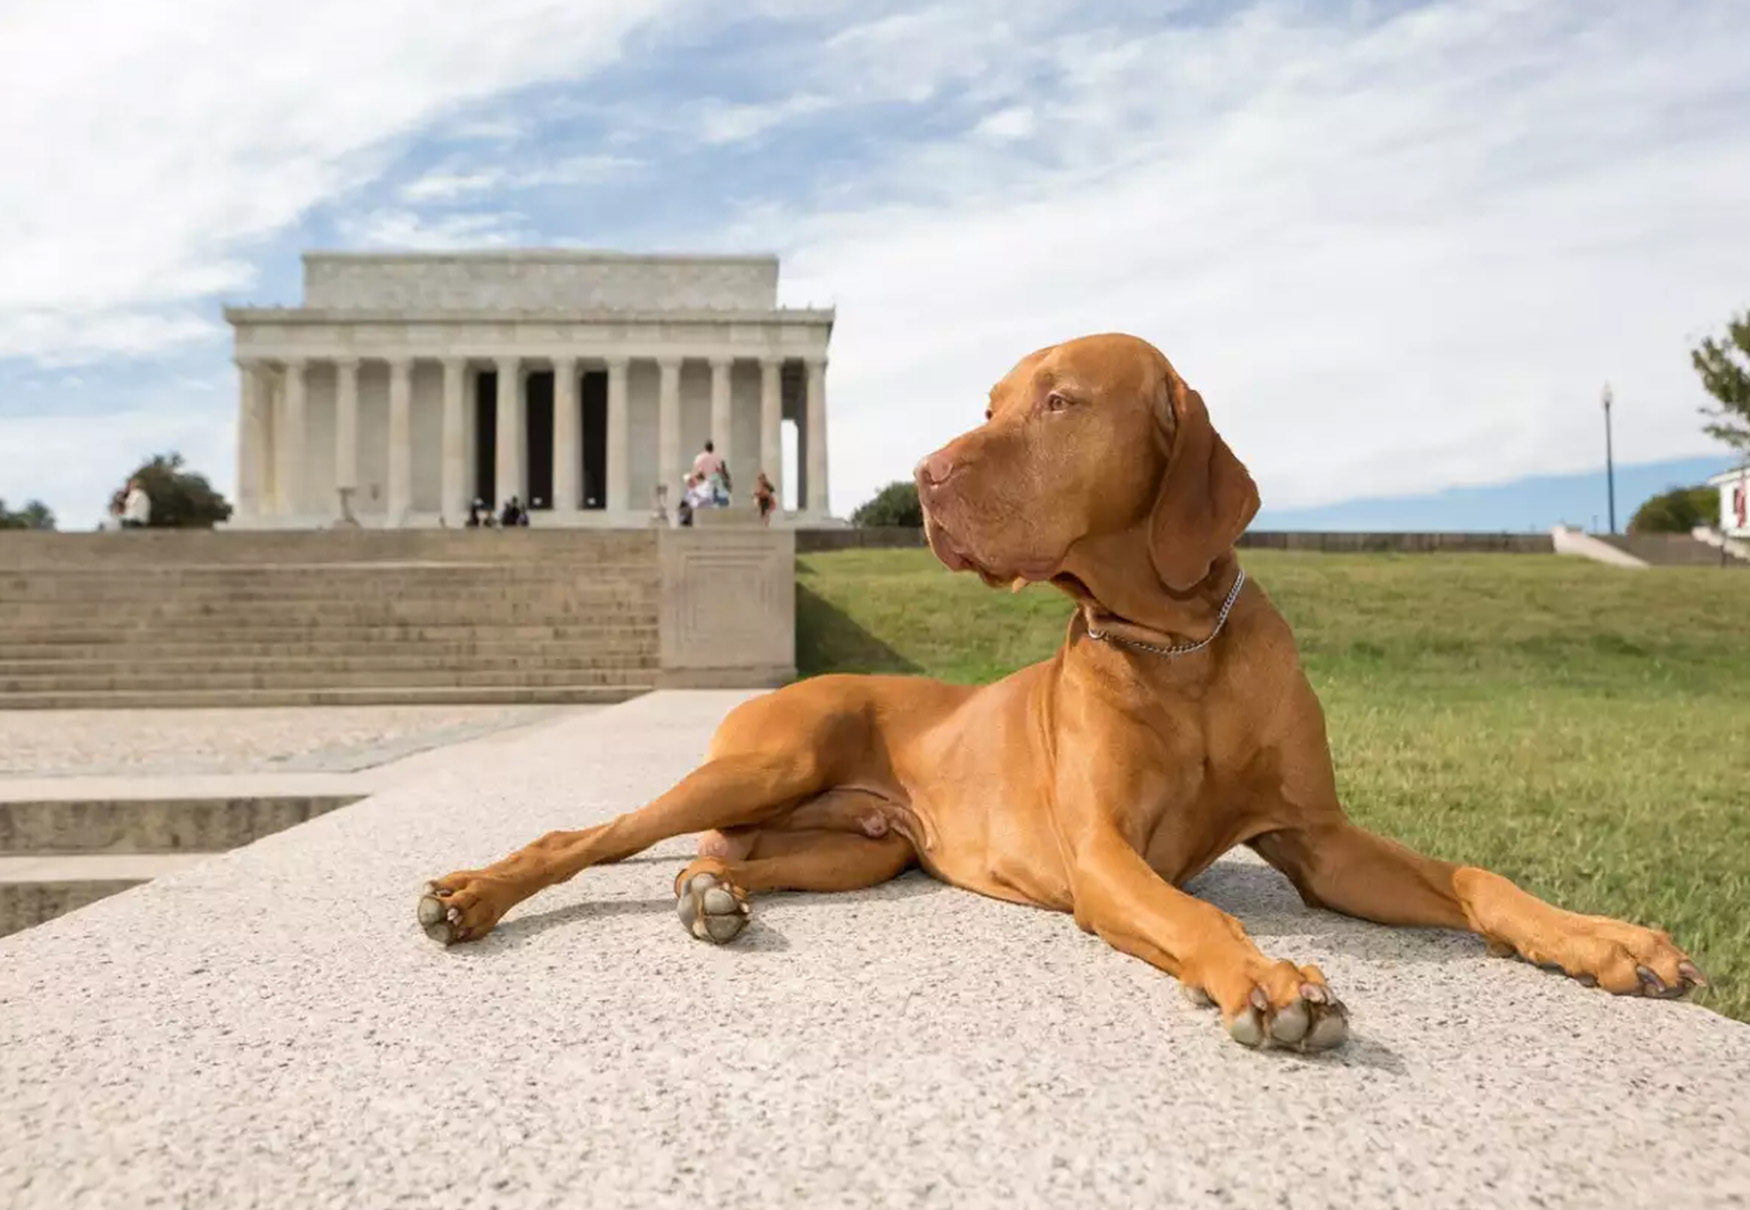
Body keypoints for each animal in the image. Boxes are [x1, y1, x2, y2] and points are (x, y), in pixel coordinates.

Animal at [416, 330, 1701, 1050]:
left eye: (1059, 401)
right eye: (987, 404)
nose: (924, 476)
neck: (1180, 650)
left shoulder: (1321, 841)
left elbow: (1479, 877)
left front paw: (1604, 940)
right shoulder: (1101, 857)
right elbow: (1204, 914)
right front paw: (1266, 975)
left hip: (864, 846)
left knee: (725, 856)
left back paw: (712, 895)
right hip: (768, 757)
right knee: (586, 834)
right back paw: (471, 894)